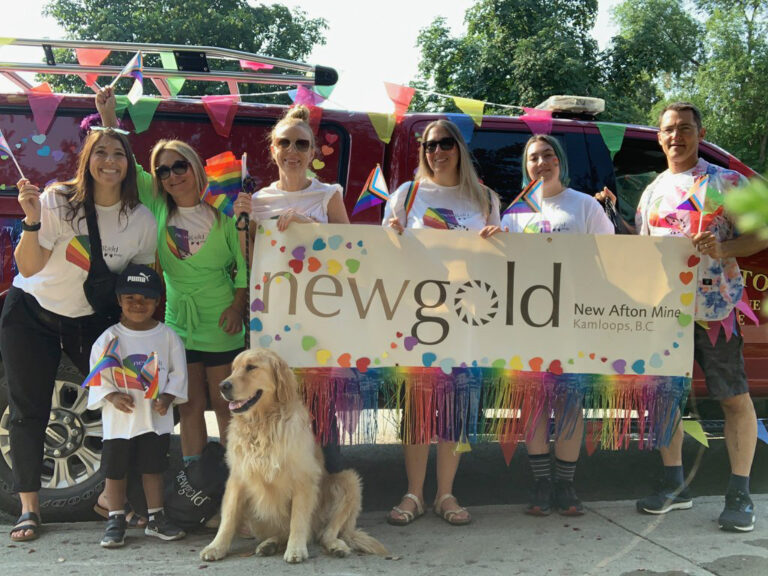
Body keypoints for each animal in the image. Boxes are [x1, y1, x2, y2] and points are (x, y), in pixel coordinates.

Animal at [200, 346, 388, 564]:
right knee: (285, 532)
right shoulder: (238, 477)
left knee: (324, 533)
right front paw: (216, 547)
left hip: (349, 480)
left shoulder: (303, 478)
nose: (223, 386)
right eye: (233, 369)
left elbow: (297, 520)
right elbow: (228, 518)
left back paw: (335, 546)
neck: (263, 424)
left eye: (251, 367)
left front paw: (296, 549)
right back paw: (269, 544)